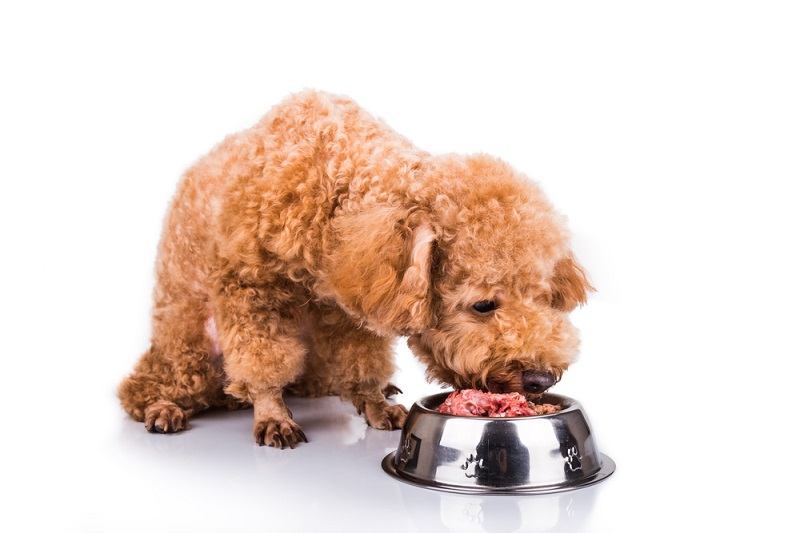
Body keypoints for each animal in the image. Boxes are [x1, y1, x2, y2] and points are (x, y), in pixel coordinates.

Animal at [120, 89, 592, 446]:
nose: (540, 378)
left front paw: (375, 402)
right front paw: (272, 413)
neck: (335, 181)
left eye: (544, 298)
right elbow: (261, 360)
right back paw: (165, 407)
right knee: (144, 388)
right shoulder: (248, 288)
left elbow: (360, 362)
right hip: (191, 343)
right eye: (482, 305)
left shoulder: (351, 306)